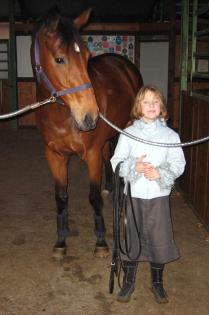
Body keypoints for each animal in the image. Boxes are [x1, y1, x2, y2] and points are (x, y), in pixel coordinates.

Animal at [31, 8, 143, 260]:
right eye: (59, 59)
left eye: (87, 57)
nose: (90, 115)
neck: (63, 116)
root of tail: (124, 64)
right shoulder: (54, 156)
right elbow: (61, 198)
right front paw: (61, 241)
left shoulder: (91, 155)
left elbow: (93, 198)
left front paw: (101, 242)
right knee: (108, 156)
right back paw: (110, 186)